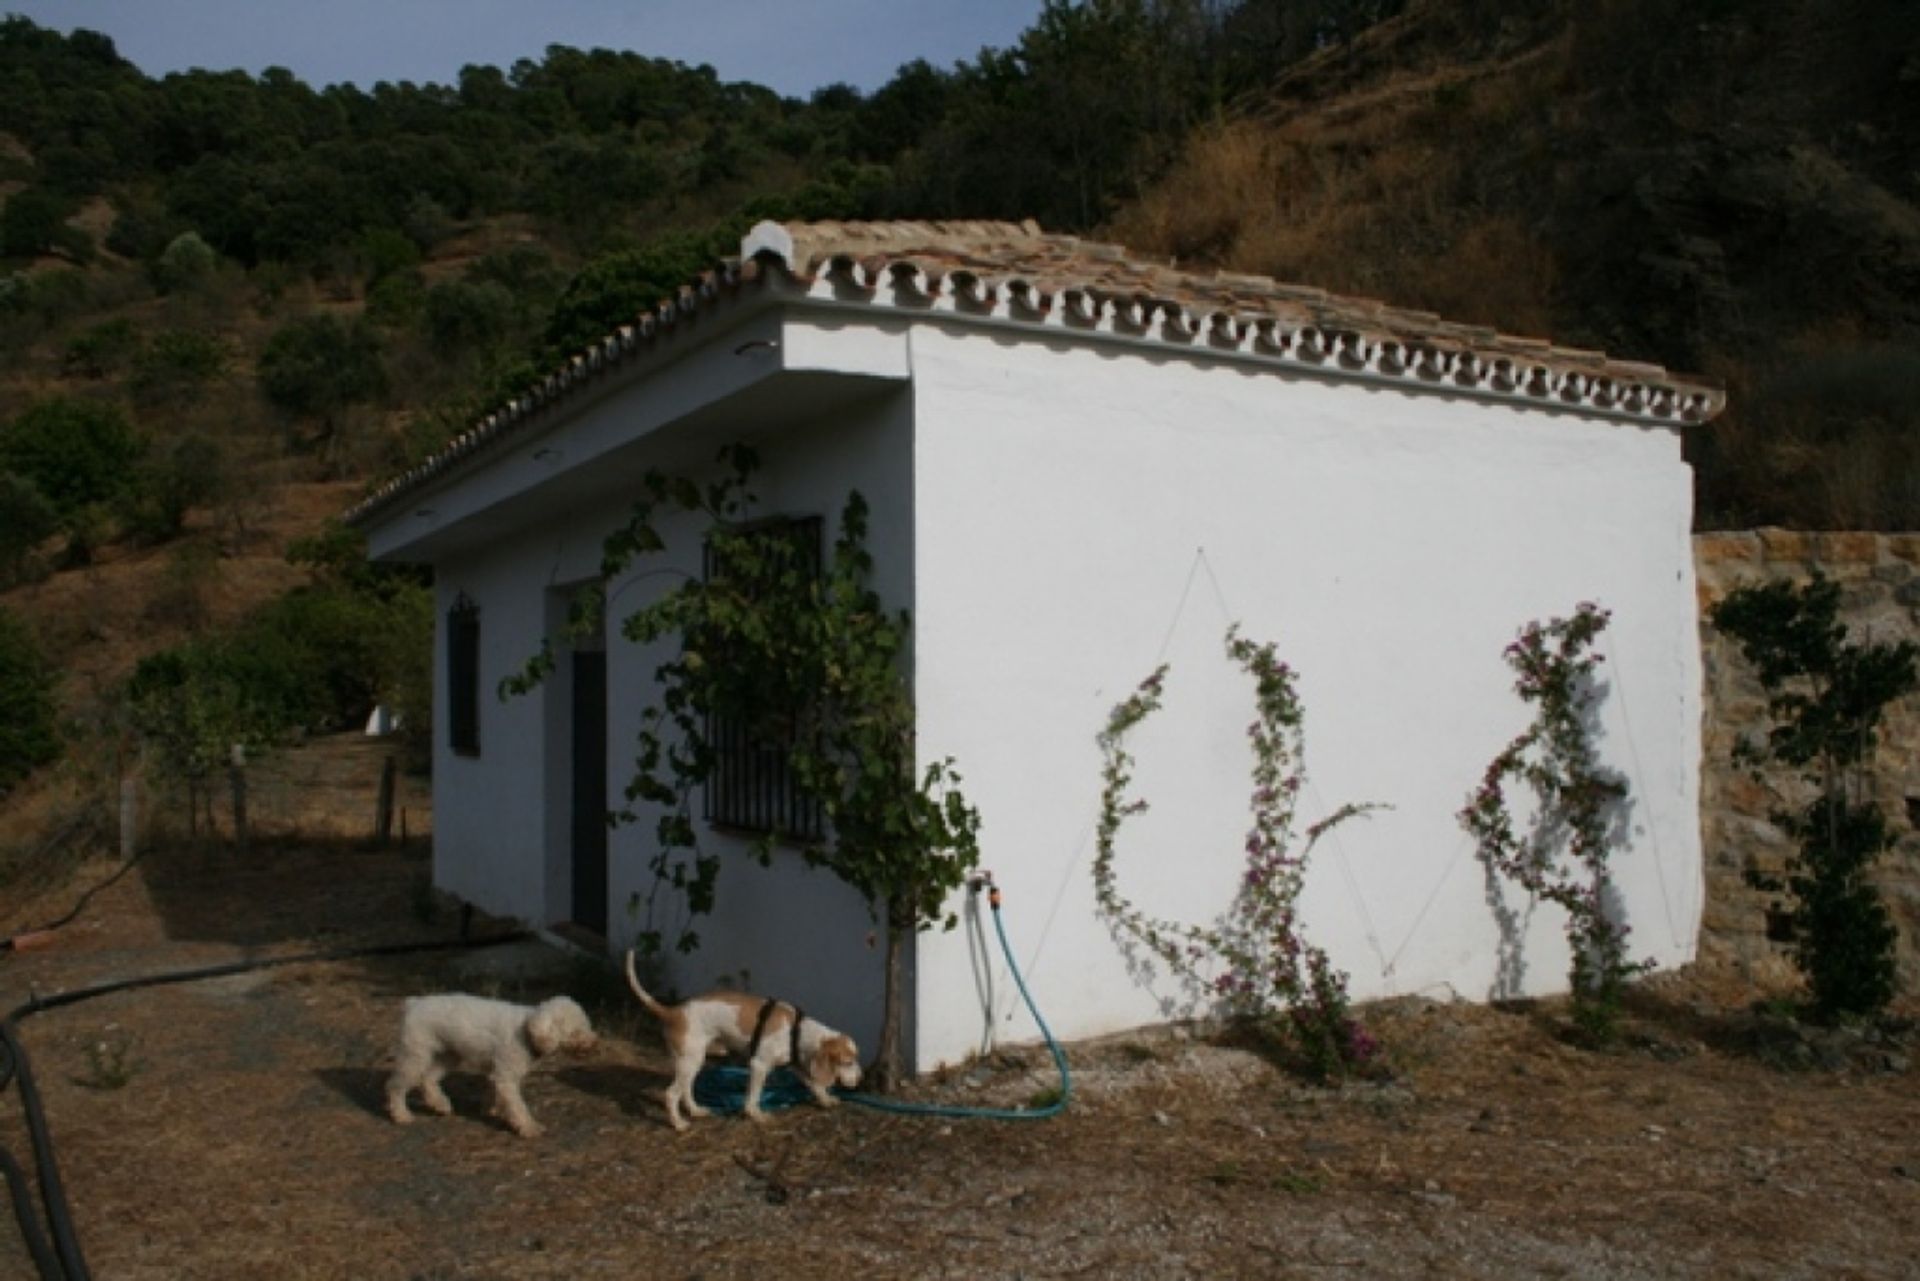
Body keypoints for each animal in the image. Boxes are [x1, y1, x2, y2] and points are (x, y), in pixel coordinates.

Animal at [385, 990, 595, 1144]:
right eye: (576, 1032)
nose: (594, 1042)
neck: (526, 1031)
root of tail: (414, 1003)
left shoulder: (495, 1073)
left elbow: (492, 1092)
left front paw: (492, 1110)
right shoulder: (506, 1078)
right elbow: (518, 1107)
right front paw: (529, 1127)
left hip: (449, 1056)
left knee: (428, 1078)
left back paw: (439, 1104)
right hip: (415, 1056)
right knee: (395, 1086)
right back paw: (401, 1115)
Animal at [622, 948, 864, 1129]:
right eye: (847, 1062)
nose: (861, 1080)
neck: (796, 1031)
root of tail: (673, 1012)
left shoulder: (797, 1066)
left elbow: (816, 1085)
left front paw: (826, 1100)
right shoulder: (759, 1065)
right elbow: (754, 1096)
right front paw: (755, 1114)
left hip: (691, 1062)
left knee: (686, 1090)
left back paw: (696, 1111)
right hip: (690, 1061)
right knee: (671, 1094)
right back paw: (678, 1123)